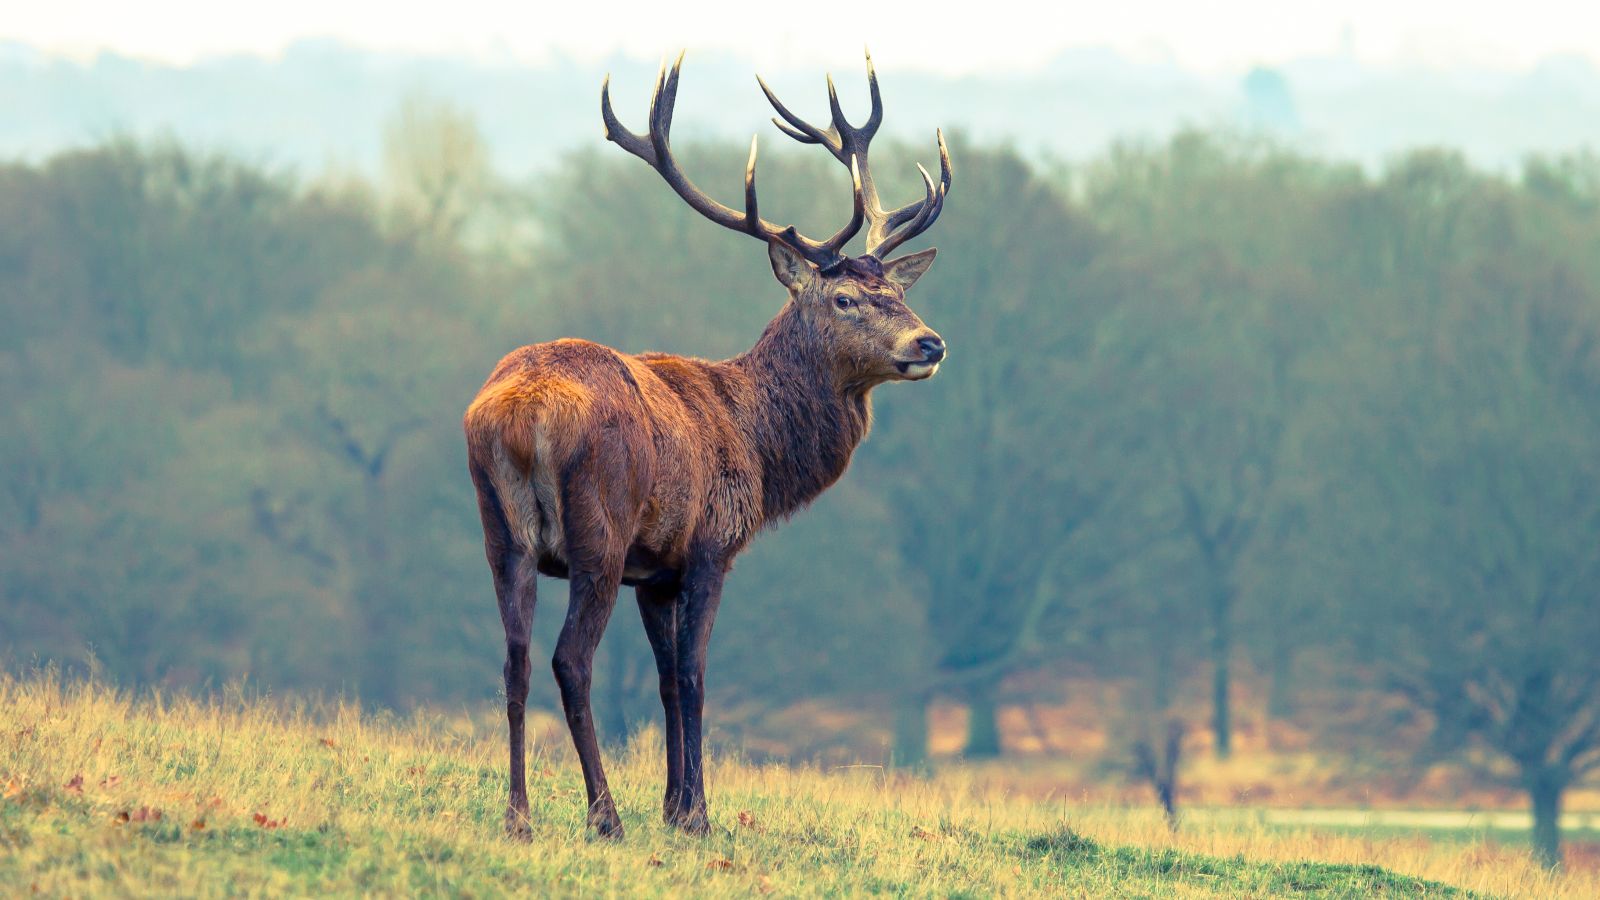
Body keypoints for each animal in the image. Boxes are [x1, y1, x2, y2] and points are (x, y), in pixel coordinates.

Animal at [463, 49, 951, 840]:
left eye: (898, 293)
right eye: (845, 298)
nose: (929, 343)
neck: (755, 445)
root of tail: (520, 412)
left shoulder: (655, 574)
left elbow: (664, 681)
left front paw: (673, 805)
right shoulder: (710, 547)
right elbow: (693, 677)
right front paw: (695, 816)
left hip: (500, 532)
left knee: (515, 660)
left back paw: (518, 818)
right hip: (597, 531)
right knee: (570, 661)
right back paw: (604, 817)